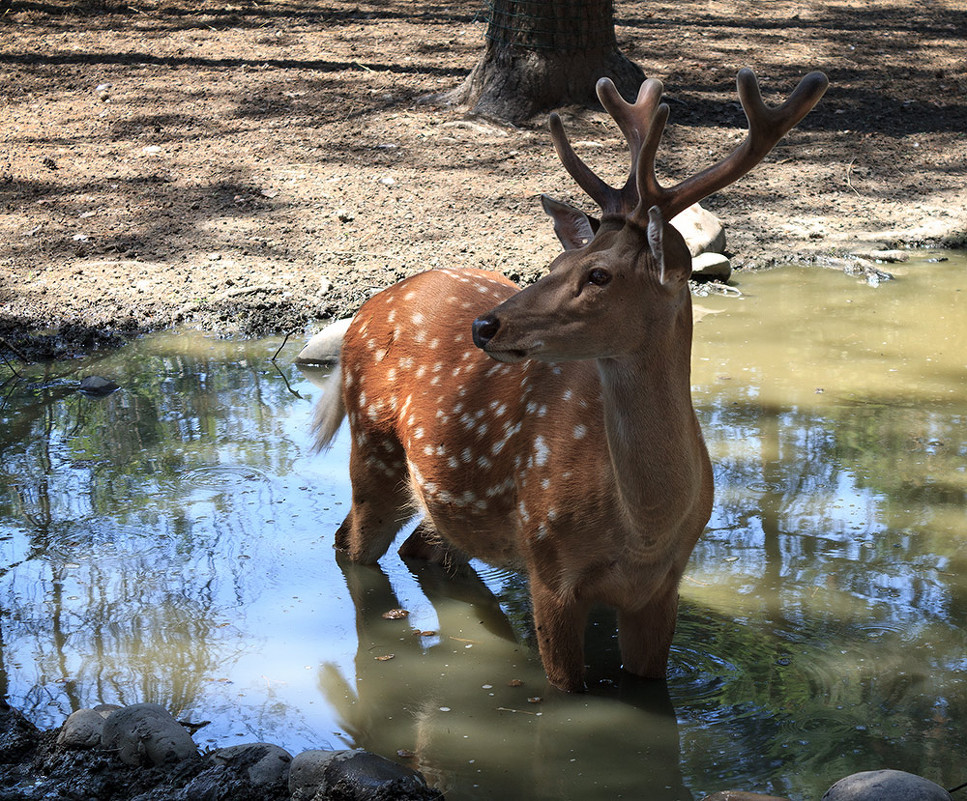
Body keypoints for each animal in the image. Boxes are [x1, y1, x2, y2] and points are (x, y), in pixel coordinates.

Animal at [312, 69, 832, 692]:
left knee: (422, 545)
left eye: (599, 274)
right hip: (374, 450)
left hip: (446, 498)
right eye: (558, 265)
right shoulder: (550, 566)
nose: (484, 325)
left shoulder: (662, 588)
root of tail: (364, 313)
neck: (643, 529)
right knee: (350, 543)